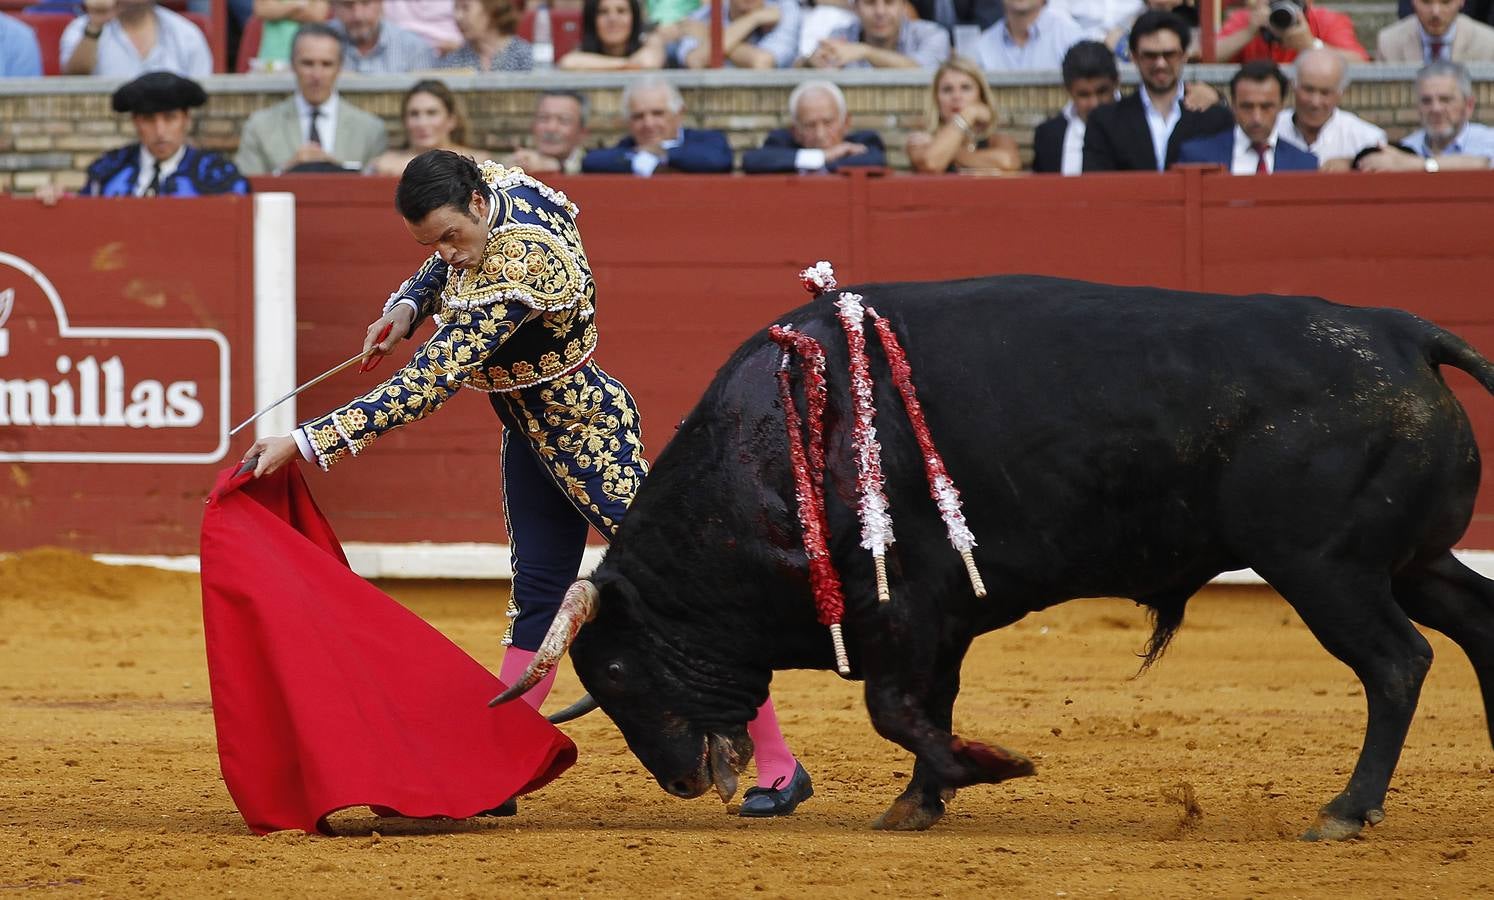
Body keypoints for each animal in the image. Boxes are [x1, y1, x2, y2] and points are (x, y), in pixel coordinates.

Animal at [493, 273, 1494, 831]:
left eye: (616, 671)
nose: (679, 782)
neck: (772, 450)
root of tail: (1404, 333)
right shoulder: (940, 620)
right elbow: (922, 709)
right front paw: (919, 802)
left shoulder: (902, 609)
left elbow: (895, 710)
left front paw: (991, 768)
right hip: (1410, 561)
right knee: (1474, 628)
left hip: (1327, 569)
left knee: (1397, 663)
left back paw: (1345, 811)